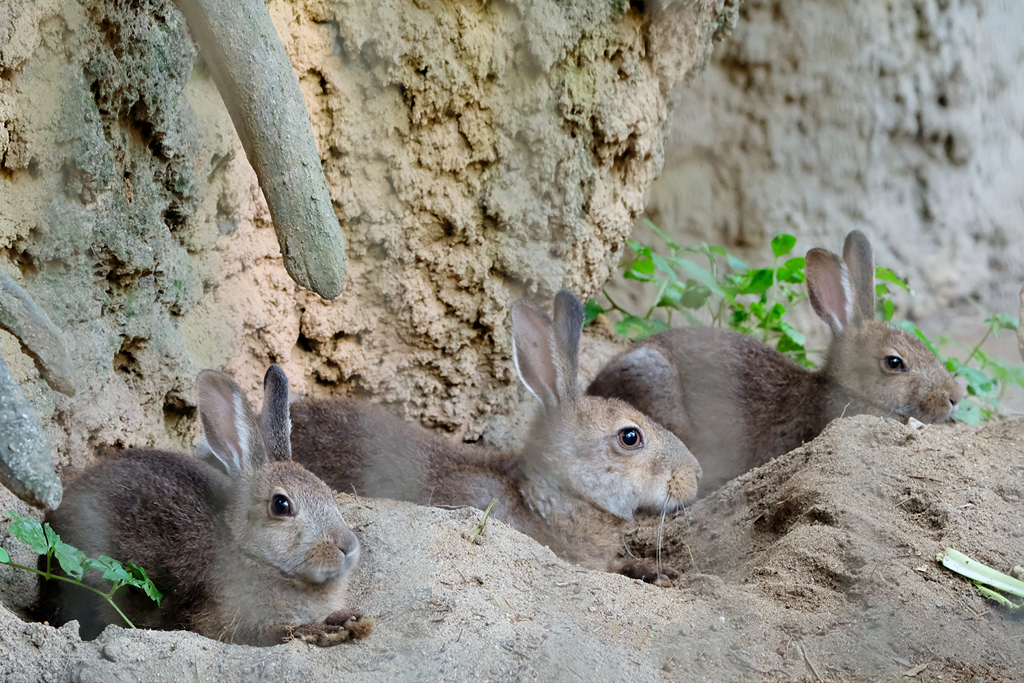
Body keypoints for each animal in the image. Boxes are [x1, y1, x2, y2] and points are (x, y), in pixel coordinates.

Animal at [30, 362, 376, 647]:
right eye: (281, 505)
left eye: (328, 493)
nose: (347, 547)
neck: (249, 552)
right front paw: (327, 630)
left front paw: (349, 619)